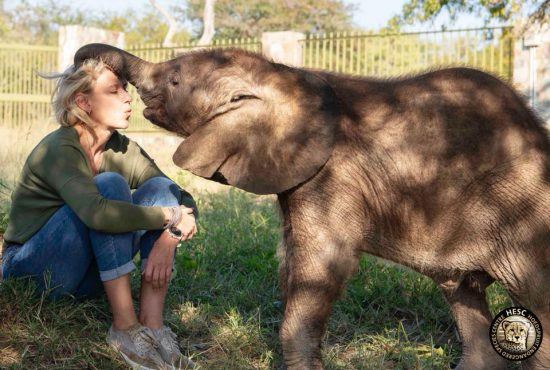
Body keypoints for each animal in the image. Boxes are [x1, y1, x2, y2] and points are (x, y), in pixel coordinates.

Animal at [75, 44, 550, 370]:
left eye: (175, 80)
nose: (88, 65)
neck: (287, 75)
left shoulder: (334, 174)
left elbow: (321, 267)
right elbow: (292, 265)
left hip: (526, 216)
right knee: (464, 295)